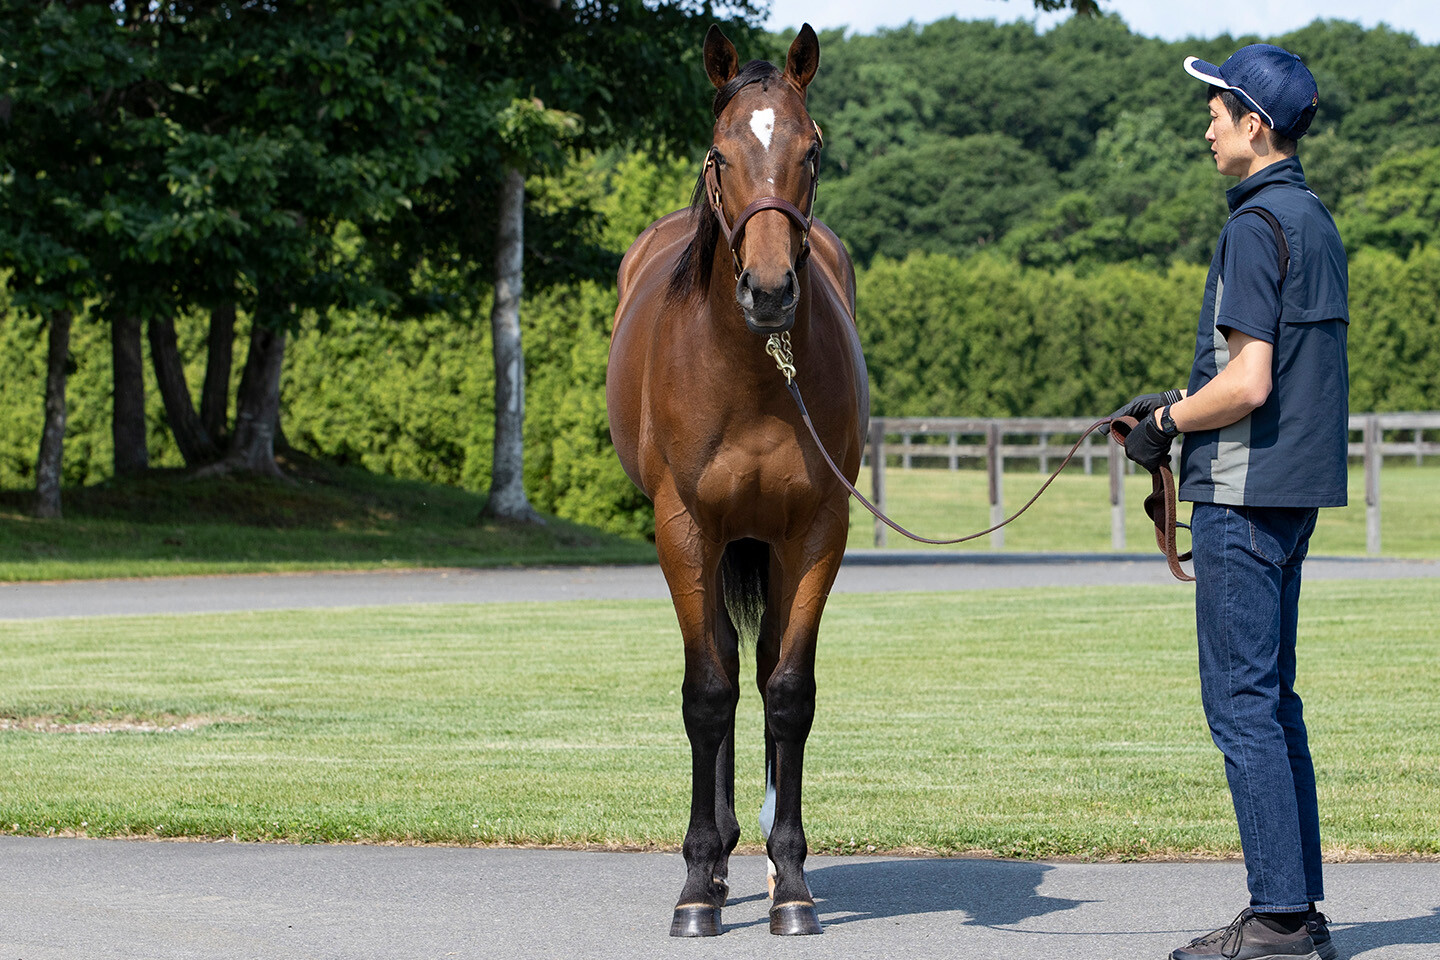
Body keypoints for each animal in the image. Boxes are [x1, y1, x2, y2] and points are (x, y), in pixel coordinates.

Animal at [604, 22, 864, 938]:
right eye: (719, 153)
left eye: (811, 149)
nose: (771, 290)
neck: (754, 377)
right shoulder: (684, 530)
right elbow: (706, 696)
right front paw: (695, 882)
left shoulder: (817, 532)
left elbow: (787, 693)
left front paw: (792, 883)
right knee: (717, 661)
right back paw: (713, 862)